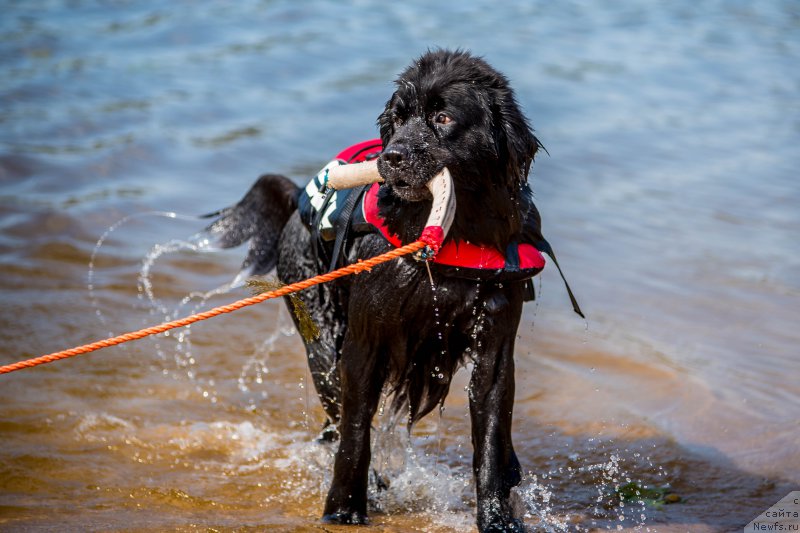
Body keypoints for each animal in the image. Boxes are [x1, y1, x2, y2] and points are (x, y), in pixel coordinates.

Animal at [205, 47, 576, 528]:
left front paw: (498, 518)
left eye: (442, 117)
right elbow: (356, 432)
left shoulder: (495, 341)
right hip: (321, 341)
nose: (394, 156)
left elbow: (492, 435)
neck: (452, 237)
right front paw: (344, 509)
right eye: (398, 119)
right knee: (335, 419)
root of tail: (297, 197)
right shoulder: (364, 342)